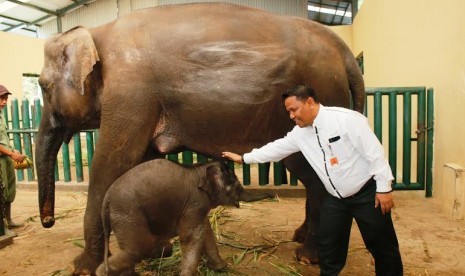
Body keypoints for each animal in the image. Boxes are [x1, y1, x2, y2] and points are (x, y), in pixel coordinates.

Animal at [96, 160, 274, 276]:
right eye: (236, 186)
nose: (273, 195)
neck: (198, 169)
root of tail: (106, 199)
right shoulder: (195, 202)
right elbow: (191, 236)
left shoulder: (196, 207)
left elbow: (206, 231)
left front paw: (221, 268)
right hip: (128, 215)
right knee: (136, 249)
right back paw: (101, 272)